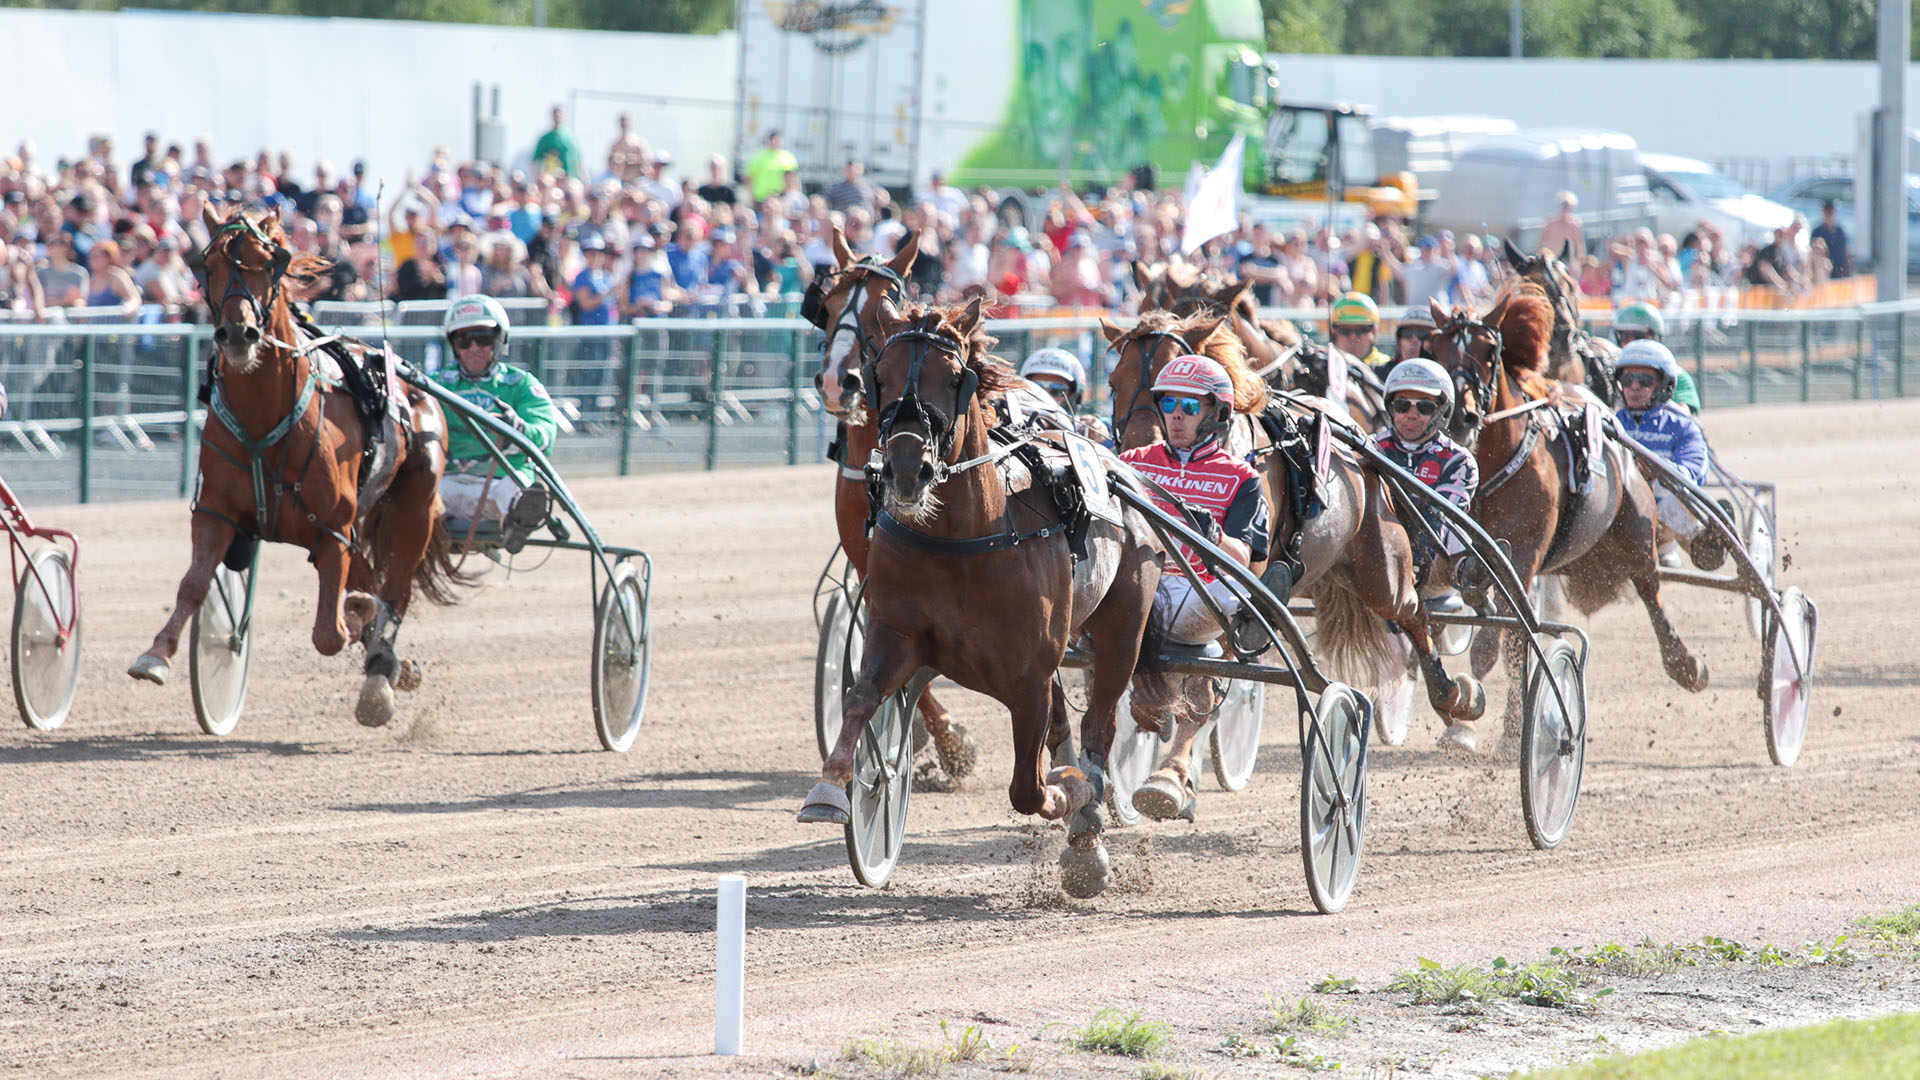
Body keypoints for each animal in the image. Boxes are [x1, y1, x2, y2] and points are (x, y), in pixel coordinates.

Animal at [128, 203, 464, 722]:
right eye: (207, 265)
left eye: (269, 263)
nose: (238, 333)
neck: (267, 415)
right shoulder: (216, 512)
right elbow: (194, 583)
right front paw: (156, 654)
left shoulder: (332, 530)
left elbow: (330, 634)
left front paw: (361, 625)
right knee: (370, 577)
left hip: (414, 503)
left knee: (395, 591)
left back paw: (380, 668)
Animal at [798, 297, 1167, 895]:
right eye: (882, 374)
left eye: (954, 379)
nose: (907, 468)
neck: (964, 537)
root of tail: (1121, 469)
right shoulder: (895, 633)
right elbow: (858, 699)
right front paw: (832, 788)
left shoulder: (1028, 677)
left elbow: (1029, 789)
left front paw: (1073, 792)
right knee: (1068, 727)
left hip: (1122, 628)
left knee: (1100, 725)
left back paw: (1087, 818)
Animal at [814, 224, 990, 772]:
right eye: (828, 305)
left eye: (880, 308)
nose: (838, 382)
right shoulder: (876, 573)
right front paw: (936, 739)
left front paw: (950, 745)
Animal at [1098, 309, 1482, 772]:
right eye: (1114, 381)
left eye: (1180, 396)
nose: (1139, 450)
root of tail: (1361, 444)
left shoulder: (1242, 576)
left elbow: (1210, 677)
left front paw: (1172, 773)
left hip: (1382, 572)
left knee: (1414, 615)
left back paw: (1454, 697)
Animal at [1428, 286, 1712, 749]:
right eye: (1432, 347)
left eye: (1489, 351)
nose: (1457, 415)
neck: (1495, 462)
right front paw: (1468, 721)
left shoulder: (1523, 555)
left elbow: (1496, 640)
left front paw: (1477, 721)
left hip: (1636, 534)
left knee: (1651, 592)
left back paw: (1686, 664)